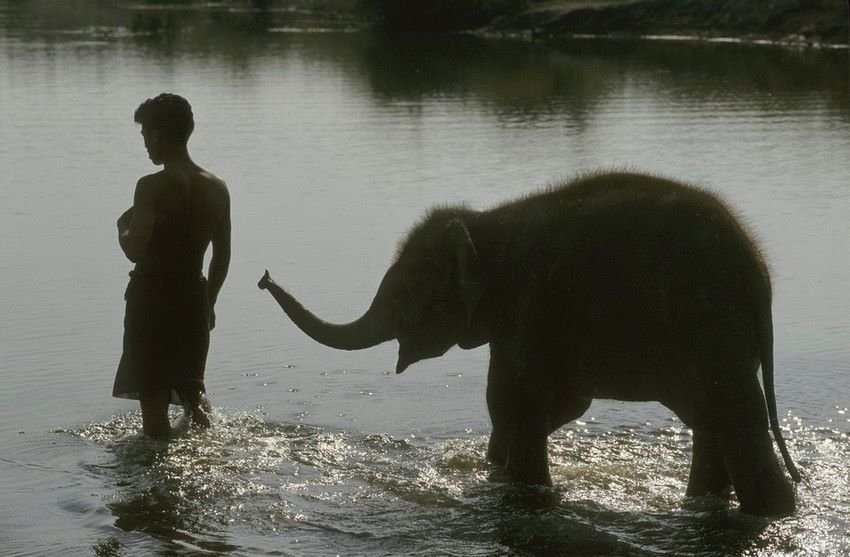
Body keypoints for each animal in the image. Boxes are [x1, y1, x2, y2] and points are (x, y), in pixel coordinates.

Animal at [258, 171, 802, 517]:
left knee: (731, 417)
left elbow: (516, 403)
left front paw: (520, 489)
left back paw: (772, 511)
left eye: (399, 297)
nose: (262, 278)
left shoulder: (528, 310)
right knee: (711, 420)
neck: (486, 223)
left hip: (706, 323)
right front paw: (496, 469)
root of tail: (757, 271)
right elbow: (549, 405)